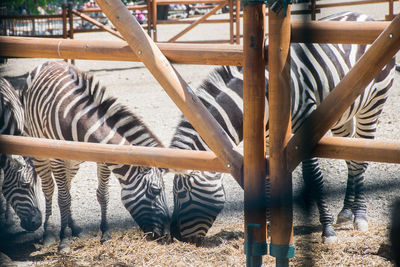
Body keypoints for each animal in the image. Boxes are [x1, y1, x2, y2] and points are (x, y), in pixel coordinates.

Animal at [22, 61, 169, 253]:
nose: (167, 235)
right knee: (49, 189)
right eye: (155, 190)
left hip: (73, 162)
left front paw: (105, 234)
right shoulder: (57, 158)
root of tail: (48, 62)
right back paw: (49, 233)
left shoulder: (103, 158)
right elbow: (63, 199)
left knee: (67, 187)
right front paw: (63, 242)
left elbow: (102, 194)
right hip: (40, 151)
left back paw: (74, 227)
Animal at [168, 11, 394, 244]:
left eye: (181, 194)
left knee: (360, 159)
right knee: (350, 157)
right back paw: (346, 212)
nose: (174, 236)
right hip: (342, 115)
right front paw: (268, 226)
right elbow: (268, 181)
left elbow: (313, 177)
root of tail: (362, 14)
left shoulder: (304, 127)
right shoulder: (267, 138)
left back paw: (359, 215)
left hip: (373, 103)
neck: (265, 93)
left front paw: (327, 229)